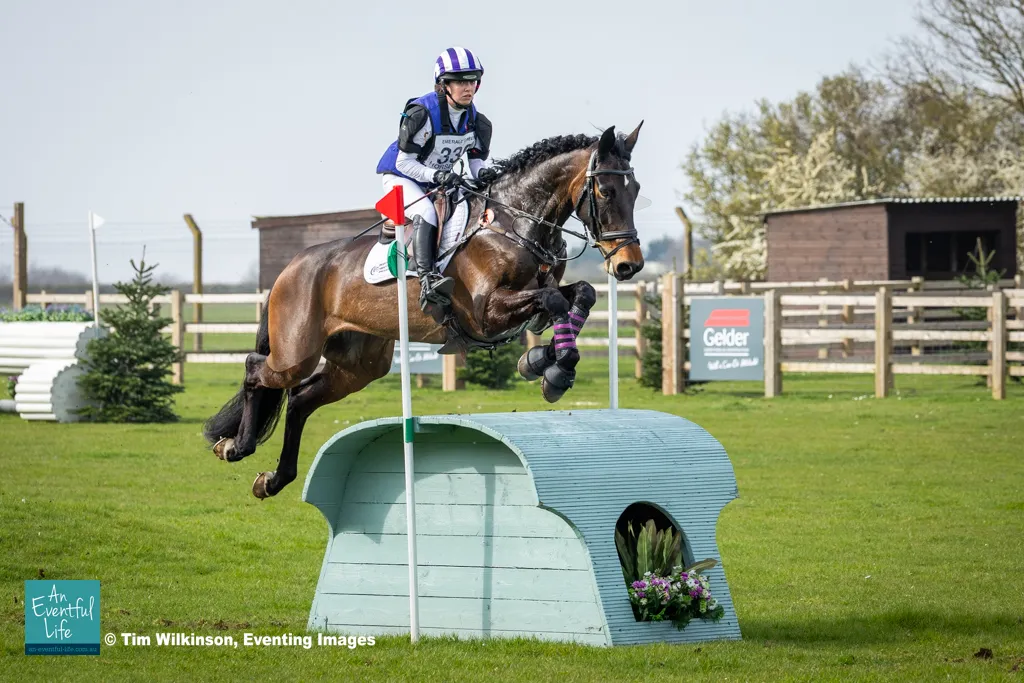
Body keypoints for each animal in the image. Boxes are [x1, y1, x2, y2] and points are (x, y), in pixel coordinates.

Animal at [203, 122, 646, 499]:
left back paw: (274, 479)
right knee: (256, 369)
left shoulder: (533, 299)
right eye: (605, 190)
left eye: (636, 189)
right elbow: (554, 302)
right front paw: (552, 370)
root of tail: (289, 269)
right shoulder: (485, 314)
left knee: (298, 400)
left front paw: (544, 362)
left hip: (359, 365)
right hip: (297, 351)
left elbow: (580, 296)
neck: (515, 222)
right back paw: (235, 446)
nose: (630, 265)